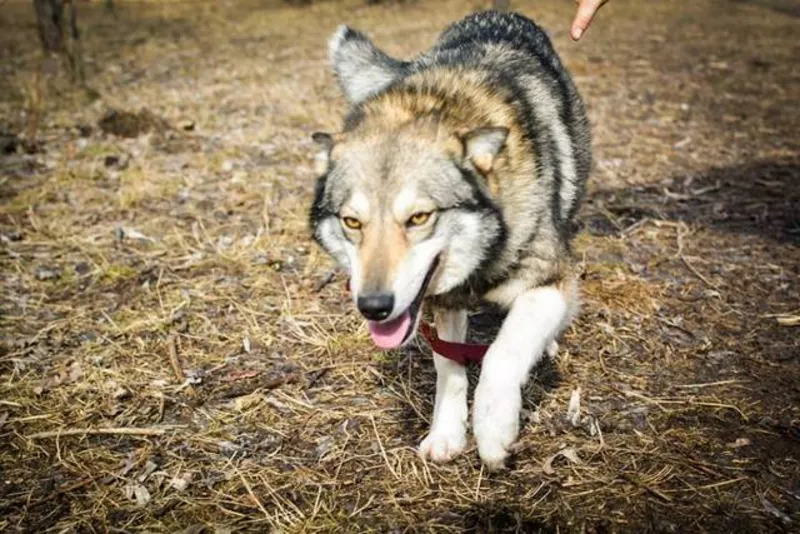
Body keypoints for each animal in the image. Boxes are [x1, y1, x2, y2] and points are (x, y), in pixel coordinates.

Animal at [310, 11, 592, 474]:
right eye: (353, 222)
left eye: (419, 218)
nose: (373, 306)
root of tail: (498, 12)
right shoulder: (444, 302)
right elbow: (449, 366)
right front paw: (446, 434)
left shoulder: (550, 280)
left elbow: (501, 353)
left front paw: (493, 431)